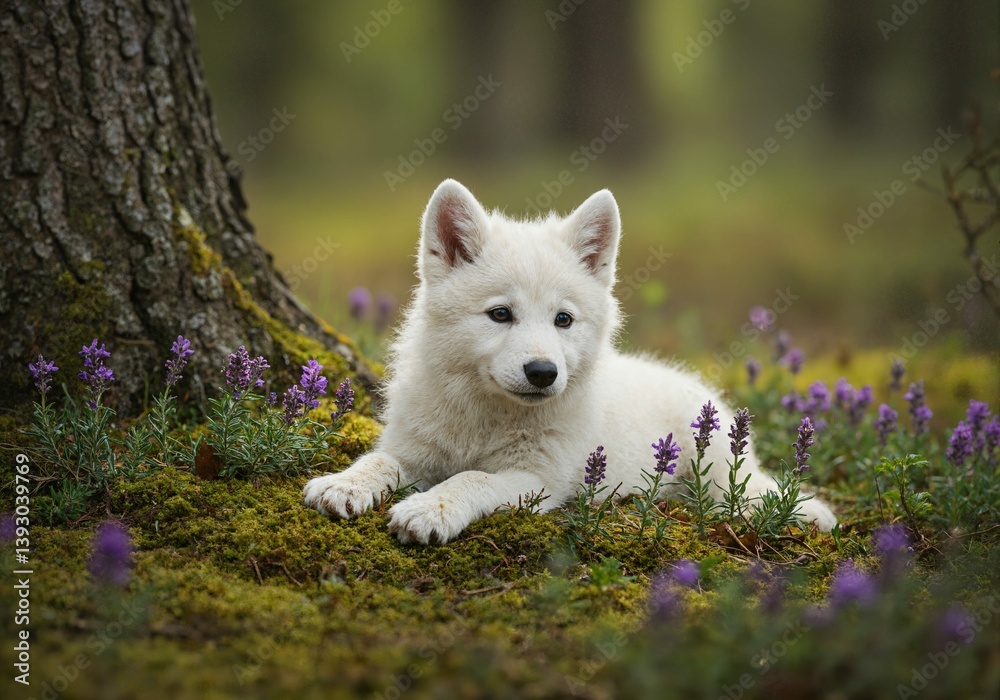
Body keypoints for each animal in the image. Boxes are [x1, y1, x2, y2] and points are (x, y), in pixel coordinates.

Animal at [303, 179, 837, 543]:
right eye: (500, 314)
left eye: (563, 319)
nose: (543, 373)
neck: (487, 418)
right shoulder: (416, 451)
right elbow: (379, 460)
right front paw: (344, 485)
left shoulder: (536, 479)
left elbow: (471, 478)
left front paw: (429, 509)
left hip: (719, 464)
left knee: (746, 489)